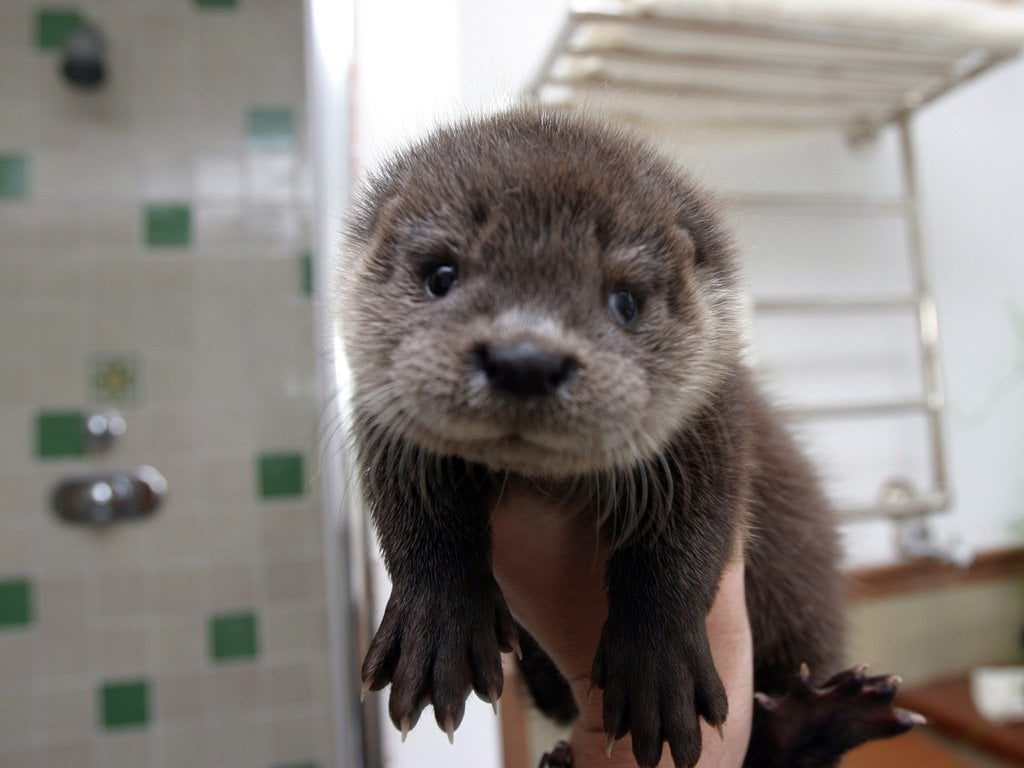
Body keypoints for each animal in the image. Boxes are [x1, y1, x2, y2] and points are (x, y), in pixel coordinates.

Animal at [340, 108, 918, 767]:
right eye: (441, 274)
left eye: (625, 300)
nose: (524, 359)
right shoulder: (383, 422)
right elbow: (416, 516)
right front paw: (440, 625)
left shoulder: (713, 427)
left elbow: (686, 540)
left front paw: (655, 671)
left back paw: (819, 719)